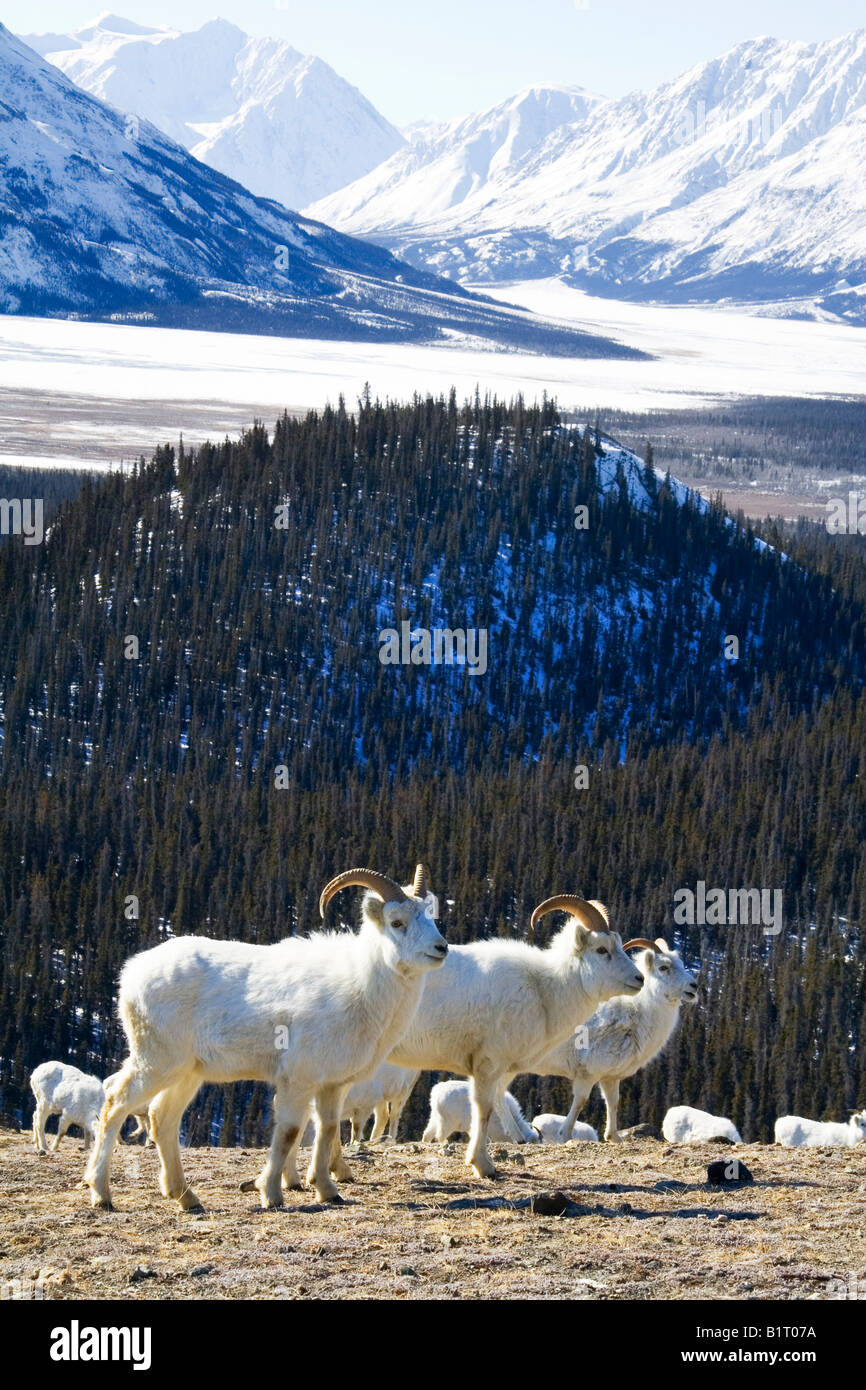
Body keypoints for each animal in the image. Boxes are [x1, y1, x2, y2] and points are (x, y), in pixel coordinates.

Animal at [84, 856, 447, 1206]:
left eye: (429, 917)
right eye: (397, 922)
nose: (440, 948)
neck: (360, 986)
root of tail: (132, 974)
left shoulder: (332, 1085)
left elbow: (327, 1130)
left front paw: (328, 1191)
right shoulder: (297, 1080)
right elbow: (289, 1132)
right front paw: (271, 1193)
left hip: (187, 1073)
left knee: (162, 1118)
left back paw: (186, 1197)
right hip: (156, 1062)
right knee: (116, 1101)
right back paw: (102, 1194)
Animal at [389, 895, 647, 1178]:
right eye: (601, 950)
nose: (639, 979)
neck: (543, 990)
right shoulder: (488, 1065)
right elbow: (484, 1109)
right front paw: (483, 1166)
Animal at [528, 934, 697, 1139]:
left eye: (681, 964)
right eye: (664, 967)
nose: (694, 986)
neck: (636, 1016)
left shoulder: (610, 1077)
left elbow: (613, 1102)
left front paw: (613, 1137)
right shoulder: (587, 1074)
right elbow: (580, 1102)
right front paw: (565, 1135)